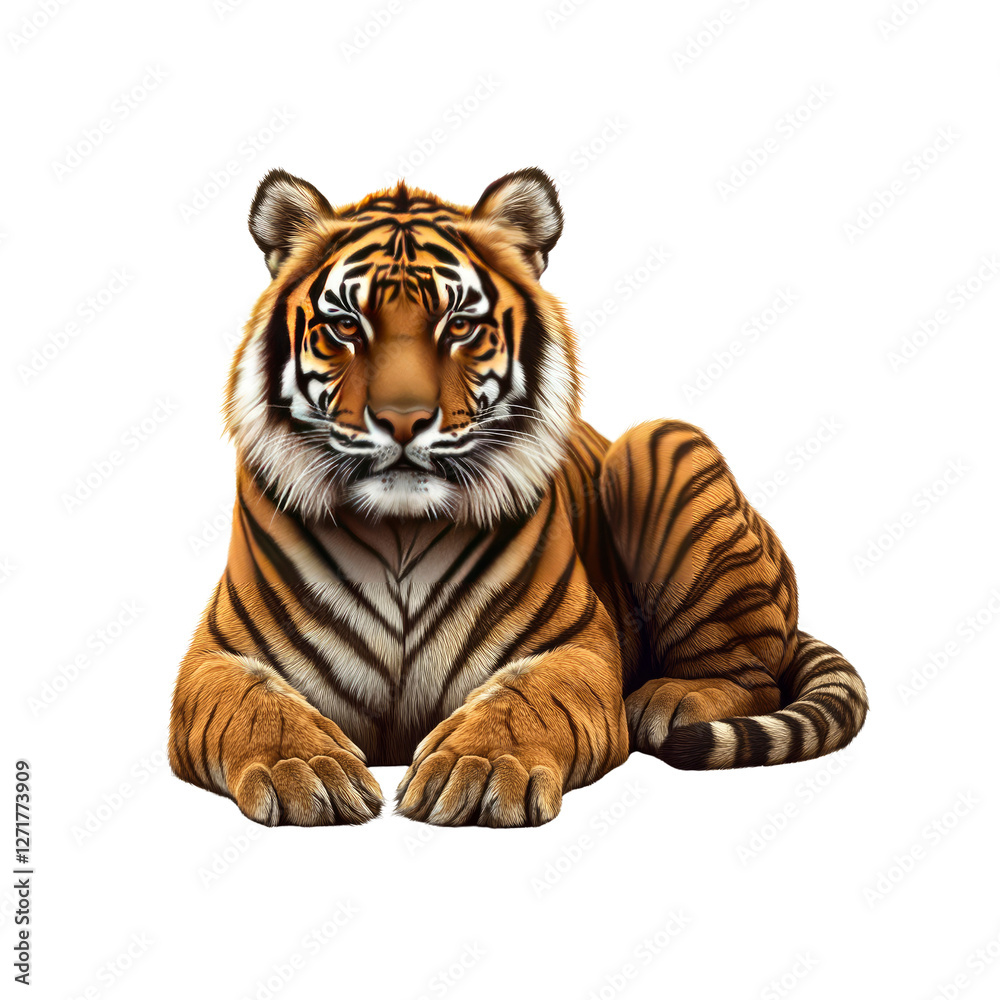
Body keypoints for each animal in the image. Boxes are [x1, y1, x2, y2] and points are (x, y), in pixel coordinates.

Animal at [167, 166, 868, 828]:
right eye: (344, 325)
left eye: (458, 325)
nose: (402, 420)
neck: (399, 532)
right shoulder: (216, 656)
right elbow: (255, 706)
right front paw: (306, 769)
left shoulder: (576, 648)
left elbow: (524, 702)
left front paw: (480, 769)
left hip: (660, 440)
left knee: (754, 676)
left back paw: (670, 701)